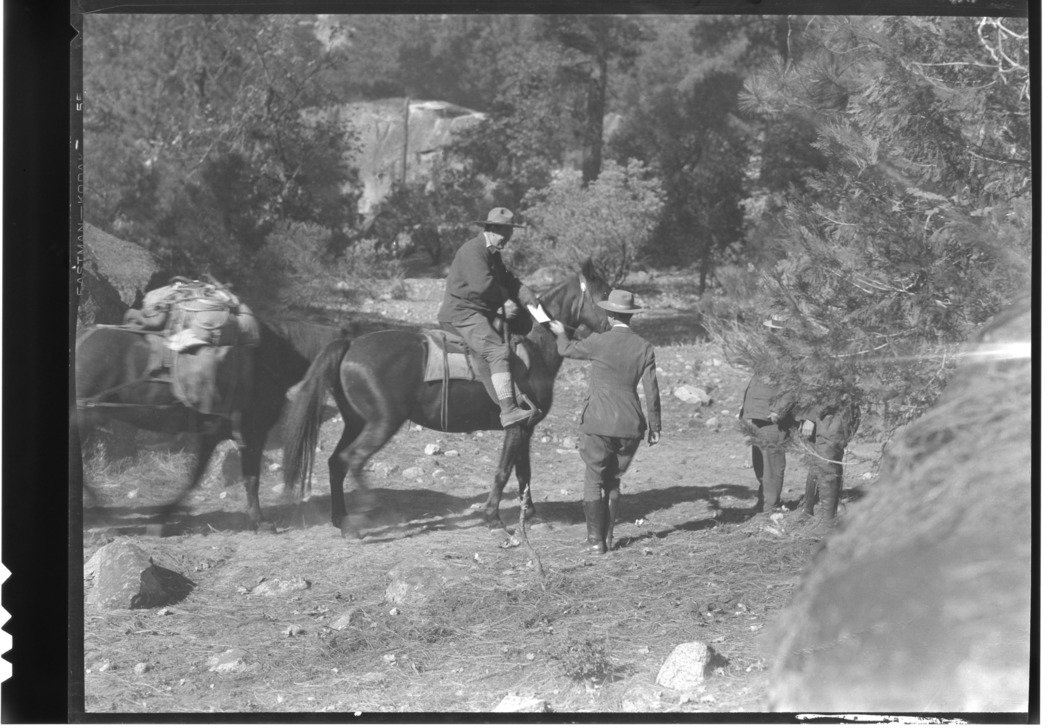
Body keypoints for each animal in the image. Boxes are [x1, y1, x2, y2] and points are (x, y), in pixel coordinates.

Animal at [283, 265, 612, 537]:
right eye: (604, 295)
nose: (616, 325)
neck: (533, 346)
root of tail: (351, 344)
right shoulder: (516, 427)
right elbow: (504, 472)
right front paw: (493, 518)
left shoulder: (526, 430)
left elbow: (524, 474)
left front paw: (531, 517)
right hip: (381, 424)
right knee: (352, 460)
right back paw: (365, 518)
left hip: (355, 422)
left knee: (336, 462)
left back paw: (342, 520)